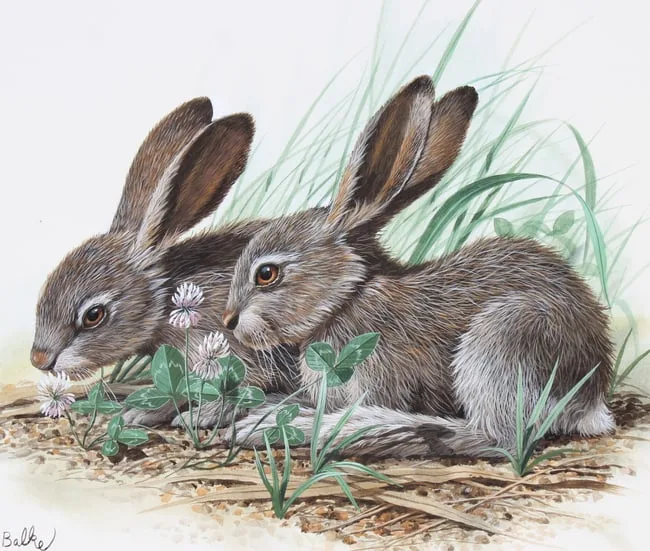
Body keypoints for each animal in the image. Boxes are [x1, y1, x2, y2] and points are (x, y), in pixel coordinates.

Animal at [30, 96, 302, 428]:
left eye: (94, 315)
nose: (39, 360)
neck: (166, 298)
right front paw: (140, 413)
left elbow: (241, 389)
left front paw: (197, 418)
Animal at [222, 75, 615, 458]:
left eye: (266, 274)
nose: (229, 322)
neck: (349, 297)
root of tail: (592, 396)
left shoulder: (381, 379)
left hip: (505, 337)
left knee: (498, 438)